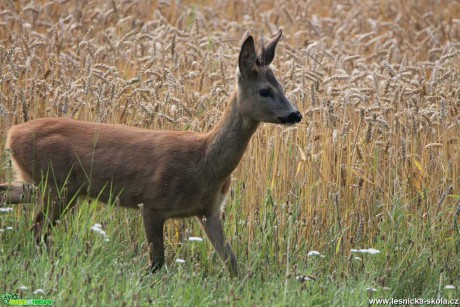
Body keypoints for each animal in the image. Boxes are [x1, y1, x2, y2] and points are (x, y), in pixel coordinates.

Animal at [0, 30, 302, 276]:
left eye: (282, 87)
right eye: (265, 91)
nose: (295, 114)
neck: (204, 162)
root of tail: (13, 133)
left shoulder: (210, 210)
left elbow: (233, 263)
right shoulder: (152, 203)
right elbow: (157, 263)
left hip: (44, 185)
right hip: (58, 186)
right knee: (38, 230)